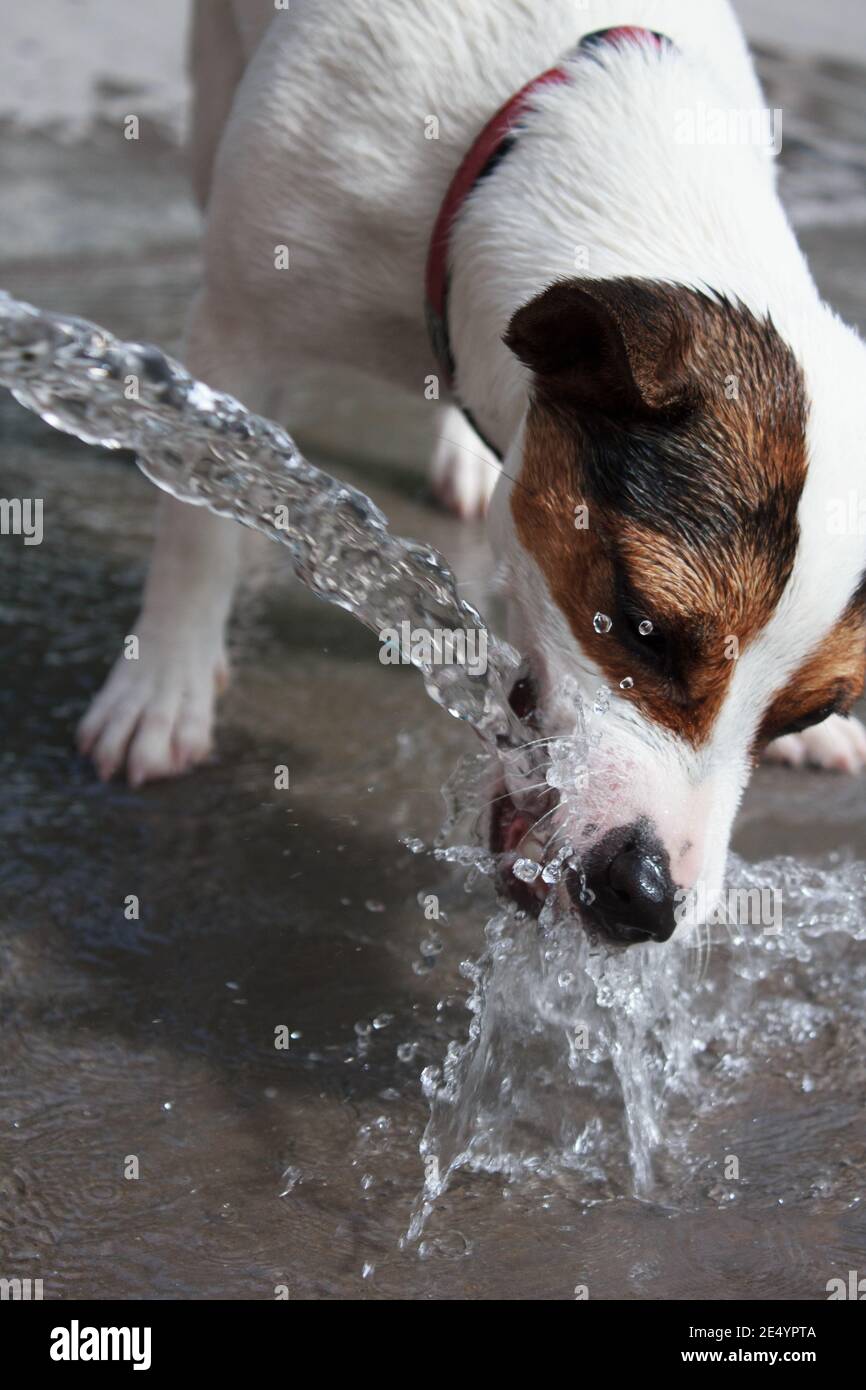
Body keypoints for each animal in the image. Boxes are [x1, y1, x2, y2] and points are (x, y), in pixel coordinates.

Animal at [76, 0, 866, 945]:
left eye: (815, 707)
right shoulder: (237, 326)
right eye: (642, 627)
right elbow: (197, 525)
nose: (648, 900)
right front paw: (165, 678)